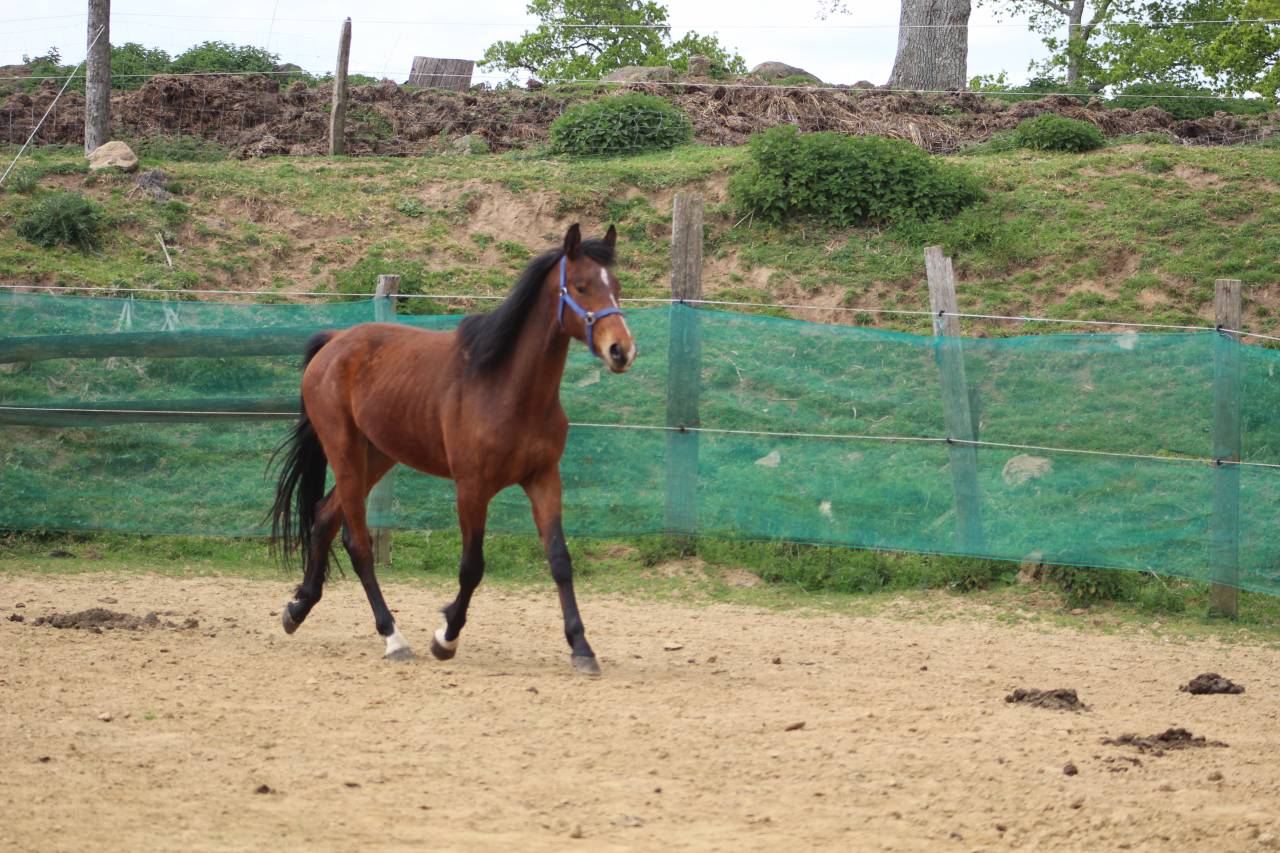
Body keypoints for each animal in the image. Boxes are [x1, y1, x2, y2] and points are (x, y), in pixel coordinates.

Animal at [269, 224, 635, 675]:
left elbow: (560, 560)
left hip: (377, 456)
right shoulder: (471, 488)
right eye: (581, 286)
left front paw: (581, 647)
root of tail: (335, 342)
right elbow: (471, 567)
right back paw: (393, 637)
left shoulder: (544, 479)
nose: (621, 350)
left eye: (616, 286)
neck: (506, 388)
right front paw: (446, 636)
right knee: (358, 544)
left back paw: (298, 608)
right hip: (346, 452)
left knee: (323, 517)